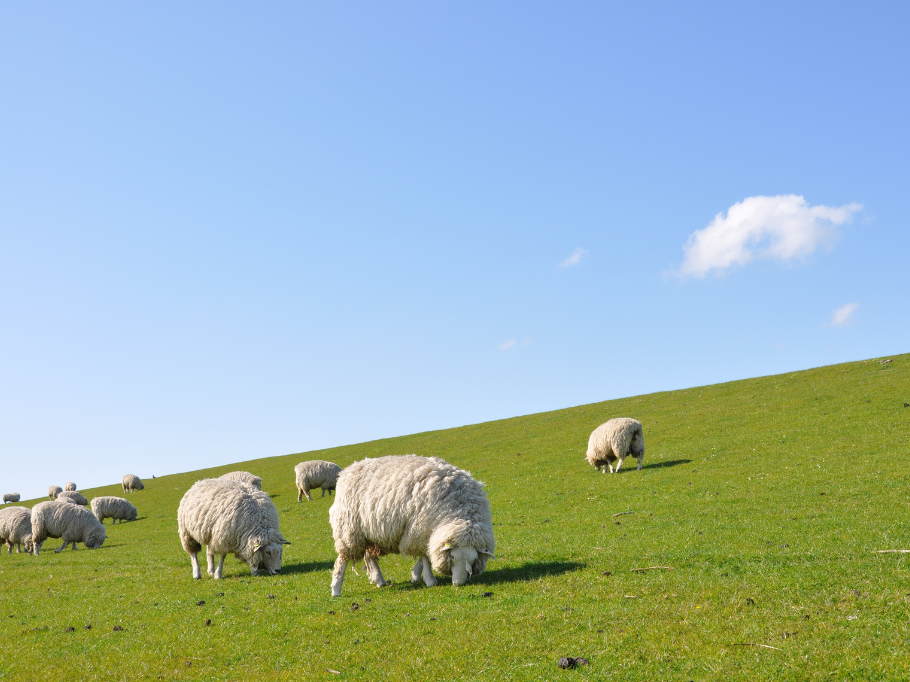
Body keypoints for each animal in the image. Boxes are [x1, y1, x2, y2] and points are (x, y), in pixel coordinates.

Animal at [330, 452, 496, 596]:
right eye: (453, 558)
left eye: (473, 561)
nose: (458, 584)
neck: (459, 510)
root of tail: (348, 470)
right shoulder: (419, 529)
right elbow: (425, 558)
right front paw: (430, 580)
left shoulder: (424, 533)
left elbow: (424, 556)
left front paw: (416, 575)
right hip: (348, 529)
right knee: (342, 561)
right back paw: (336, 589)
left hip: (369, 533)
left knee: (369, 557)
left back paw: (379, 580)